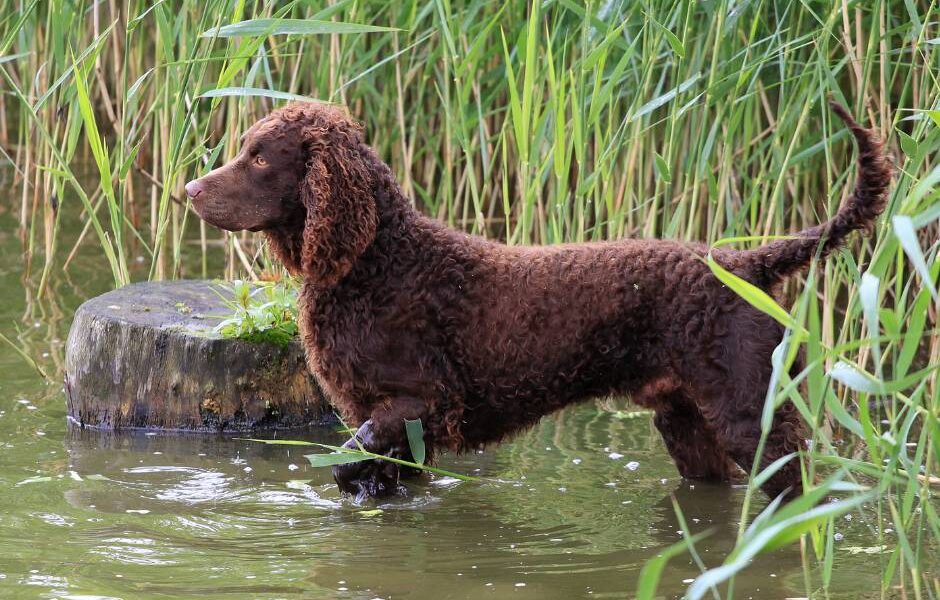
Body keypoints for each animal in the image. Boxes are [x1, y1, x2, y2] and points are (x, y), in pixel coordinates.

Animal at [187, 102, 892, 502]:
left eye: (259, 158)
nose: (190, 189)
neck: (377, 262)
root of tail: (745, 263)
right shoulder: (396, 423)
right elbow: (371, 472)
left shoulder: (423, 402)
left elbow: (351, 456)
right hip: (687, 424)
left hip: (752, 416)